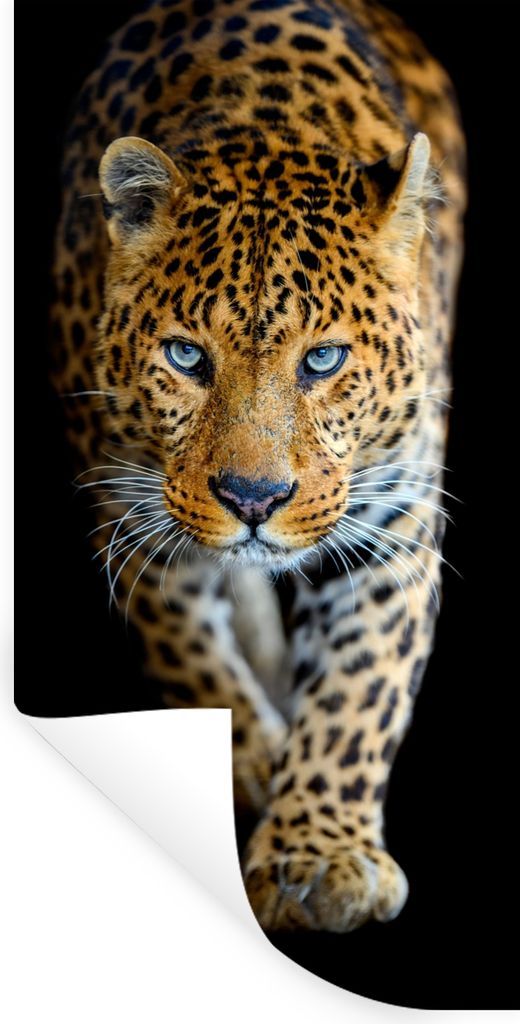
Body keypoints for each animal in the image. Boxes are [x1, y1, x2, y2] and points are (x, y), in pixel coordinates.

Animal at [50, 0, 466, 933]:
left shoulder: (393, 529)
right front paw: (255, 766)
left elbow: (359, 695)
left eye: (323, 360)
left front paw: (321, 853)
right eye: (185, 356)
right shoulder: (135, 520)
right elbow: (200, 674)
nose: (252, 498)